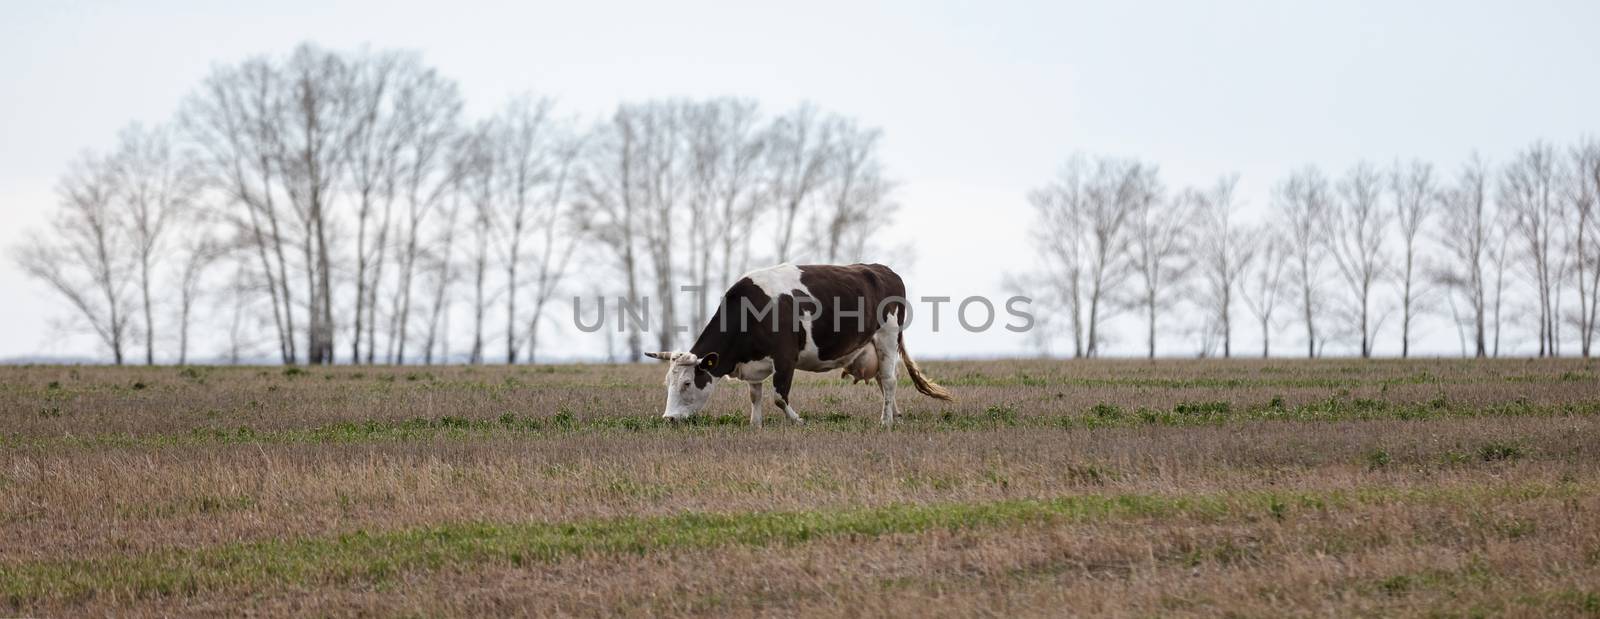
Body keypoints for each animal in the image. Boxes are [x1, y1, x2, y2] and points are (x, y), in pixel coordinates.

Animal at [643, 263, 947, 428]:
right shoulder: (754, 363)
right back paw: (895, 415)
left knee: (890, 380)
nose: (668, 418)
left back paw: (885, 421)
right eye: (668, 383)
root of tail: (881, 269)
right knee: (886, 381)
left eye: (687, 383)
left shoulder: (785, 357)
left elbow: (779, 396)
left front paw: (799, 421)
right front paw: (755, 424)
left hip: (887, 335)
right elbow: (755, 395)